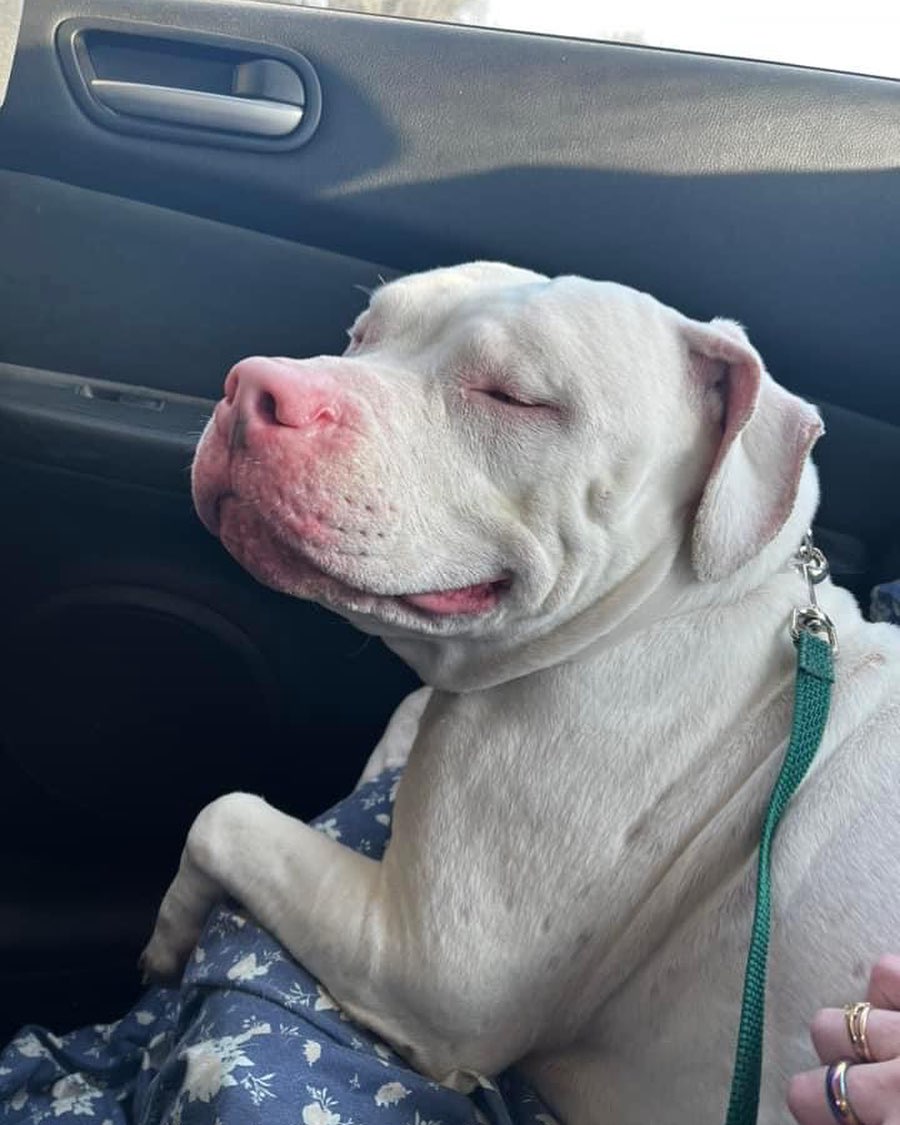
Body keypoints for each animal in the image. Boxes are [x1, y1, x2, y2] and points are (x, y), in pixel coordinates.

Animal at [144, 258, 900, 1120]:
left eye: (516, 398)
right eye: (361, 335)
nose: (254, 386)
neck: (666, 607)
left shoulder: (423, 967)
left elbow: (222, 814)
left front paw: (168, 936)